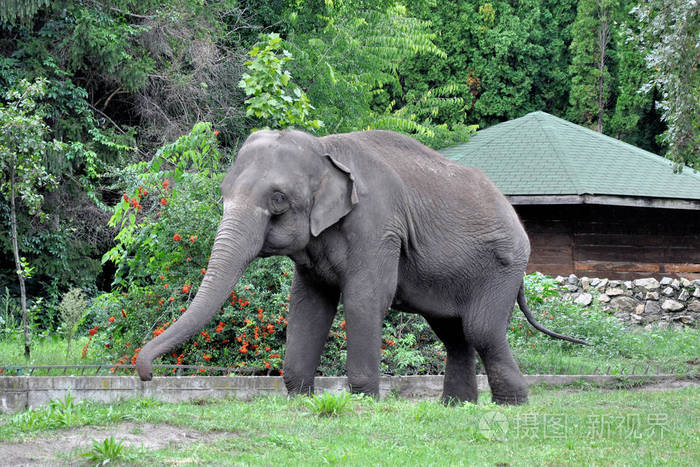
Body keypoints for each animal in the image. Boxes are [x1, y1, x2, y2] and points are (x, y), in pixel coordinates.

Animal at [136, 129, 588, 405]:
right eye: (223, 193)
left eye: (278, 200)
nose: (146, 376)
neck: (325, 149)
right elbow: (309, 306)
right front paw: (300, 398)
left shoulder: (377, 225)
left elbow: (363, 299)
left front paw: (364, 400)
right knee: (453, 334)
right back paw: (455, 408)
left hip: (501, 268)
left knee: (481, 331)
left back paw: (511, 406)